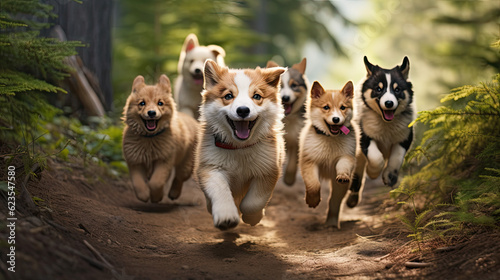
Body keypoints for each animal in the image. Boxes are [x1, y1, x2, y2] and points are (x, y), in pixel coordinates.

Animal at [122, 74, 198, 203]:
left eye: (160, 103)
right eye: (142, 103)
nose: (151, 113)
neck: (149, 138)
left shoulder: (164, 161)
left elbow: (156, 182)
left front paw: (156, 197)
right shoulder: (135, 162)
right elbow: (138, 183)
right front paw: (143, 195)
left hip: (186, 164)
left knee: (179, 178)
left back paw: (173, 193)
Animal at [196, 59, 290, 230]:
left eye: (257, 96)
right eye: (228, 96)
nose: (243, 110)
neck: (239, 147)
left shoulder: (268, 169)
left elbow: (253, 202)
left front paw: (252, 217)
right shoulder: (210, 167)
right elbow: (220, 190)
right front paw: (226, 216)